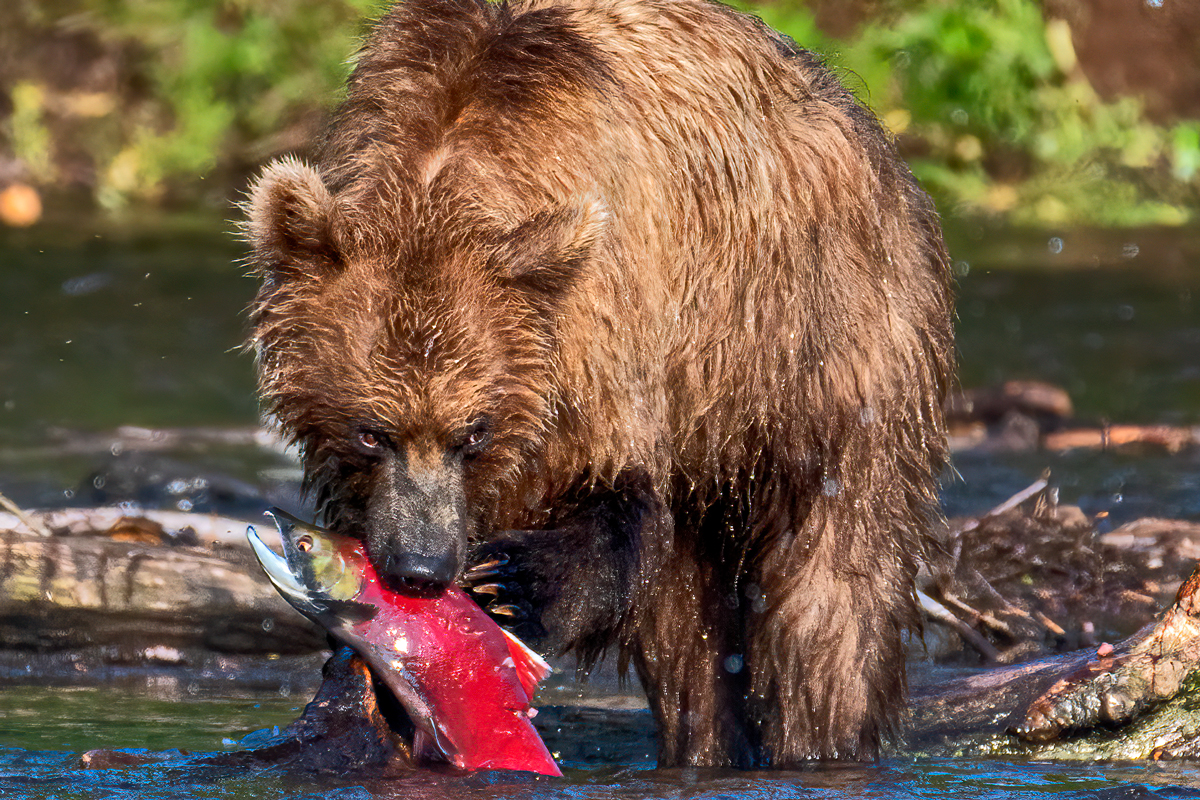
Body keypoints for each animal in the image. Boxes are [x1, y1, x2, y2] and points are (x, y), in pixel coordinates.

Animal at [246, 0, 955, 767]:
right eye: (372, 431)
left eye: (475, 431)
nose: (420, 569)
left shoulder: (610, 323)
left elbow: (620, 500)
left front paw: (513, 583)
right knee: (689, 645)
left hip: (825, 352)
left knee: (831, 603)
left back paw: (821, 738)